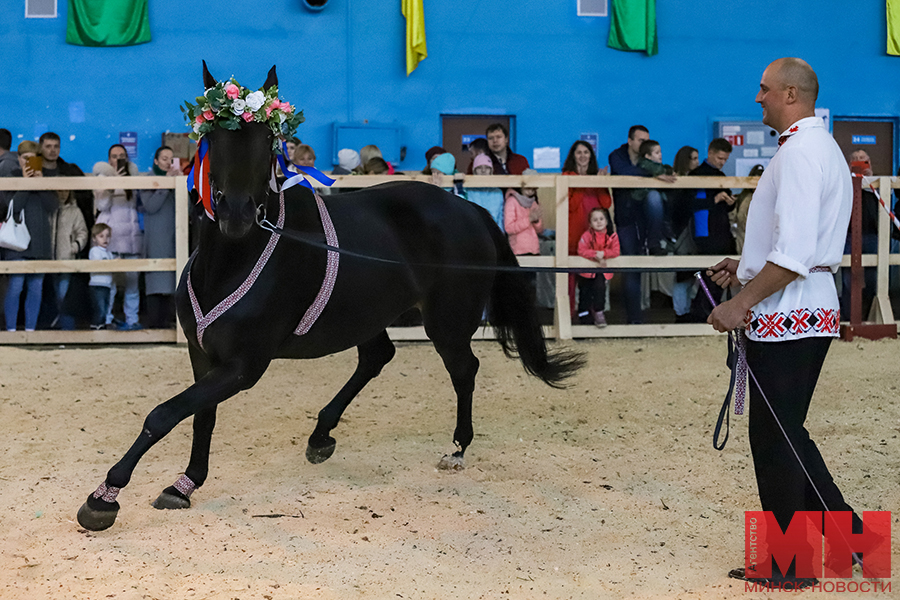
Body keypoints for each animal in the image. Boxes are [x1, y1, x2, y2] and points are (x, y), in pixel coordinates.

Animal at [77, 64, 584, 528]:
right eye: (216, 138)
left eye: (268, 141)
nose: (237, 214)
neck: (233, 259)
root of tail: (471, 209)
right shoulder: (204, 356)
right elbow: (200, 416)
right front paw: (184, 484)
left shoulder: (244, 366)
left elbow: (164, 414)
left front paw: (105, 496)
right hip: (367, 313)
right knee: (378, 356)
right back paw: (321, 435)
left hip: (447, 322)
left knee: (464, 370)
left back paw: (457, 449)